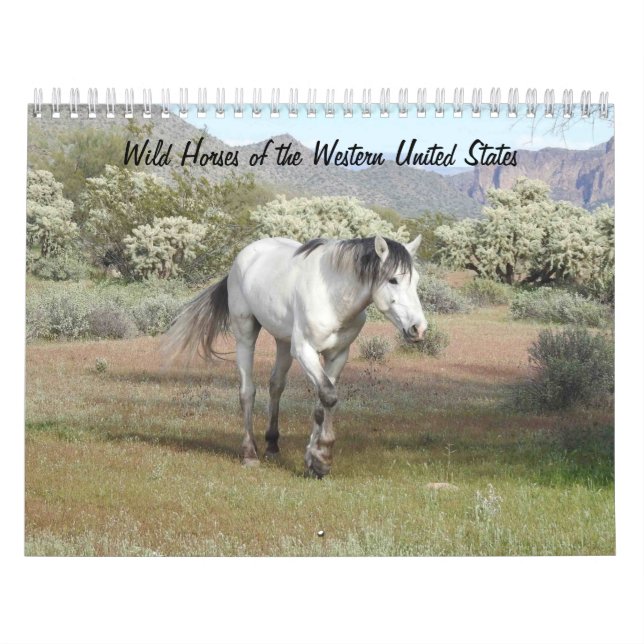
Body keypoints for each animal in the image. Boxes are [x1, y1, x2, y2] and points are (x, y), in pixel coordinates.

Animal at [165, 234, 427, 478]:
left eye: (415, 281)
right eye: (393, 279)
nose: (419, 328)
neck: (332, 295)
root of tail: (242, 257)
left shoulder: (337, 356)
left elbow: (322, 403)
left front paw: (313, 458)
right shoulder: (304, 350)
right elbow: (328, 396)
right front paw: (322, 457)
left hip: (282, 342)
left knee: (276, 386)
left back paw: (272, 446)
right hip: (245, 334)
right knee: (247, 392)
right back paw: (250, 453)